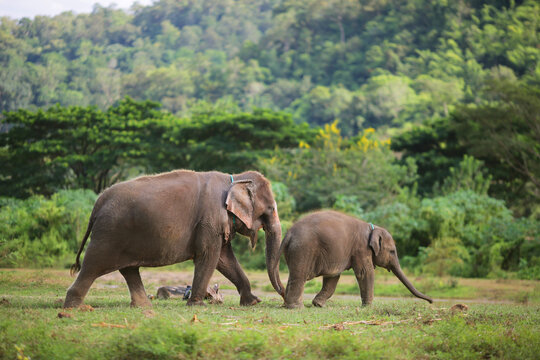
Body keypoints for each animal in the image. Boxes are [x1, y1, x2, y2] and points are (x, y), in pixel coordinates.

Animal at [63, 170, 284, 308]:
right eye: (271, 209)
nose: (283, 298)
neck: (235, 179)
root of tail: (98, 202)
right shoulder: (209, 220)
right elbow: (209, 257)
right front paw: (197, 305)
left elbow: (225, 259)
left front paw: (253, 302)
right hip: (108, 234)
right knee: (93, 265)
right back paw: (73, 307)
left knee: (129, 270)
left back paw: (143, 306)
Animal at [280, 211, 432, 310]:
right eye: (392, 251)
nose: (431, 301)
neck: (373, 228)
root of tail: (288, 233)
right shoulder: (361, 248)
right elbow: (365, 273)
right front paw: (368, 307)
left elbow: (333, 277)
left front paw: (318, 305)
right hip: (303, 249)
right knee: (299, 275)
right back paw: (296, 307)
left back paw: (289, 305)